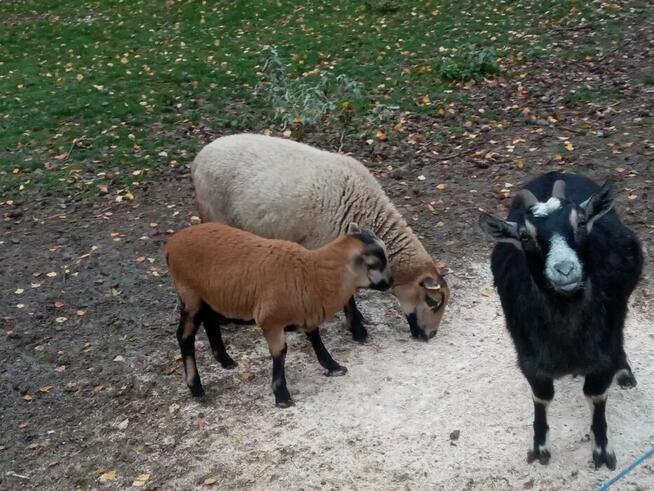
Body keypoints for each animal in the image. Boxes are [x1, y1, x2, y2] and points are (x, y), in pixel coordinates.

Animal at [192, 134, 452, 342]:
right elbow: (346, 295)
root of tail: (198, 157)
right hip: (216, 215)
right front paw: (358, 332)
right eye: (432, 301)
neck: (364, 208)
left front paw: (358, 321)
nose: (431, 335)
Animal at [482, 172, 644, 468]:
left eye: (580, 222)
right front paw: (539, 448)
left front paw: (602, 450)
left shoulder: (602, 358)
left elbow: (596, 396)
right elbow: (541, 398)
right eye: (525, 235)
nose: (565, 269)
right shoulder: (530, 360)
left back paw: (625, 371)